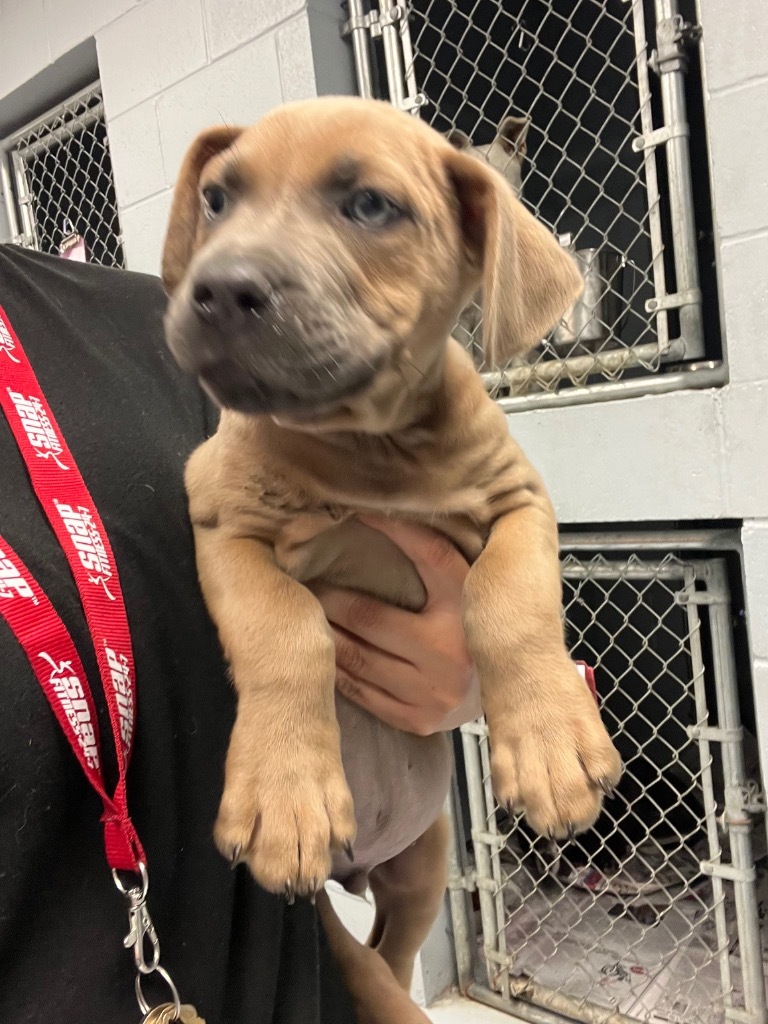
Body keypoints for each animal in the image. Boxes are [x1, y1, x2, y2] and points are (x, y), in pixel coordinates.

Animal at [162, 97, 626, 1024]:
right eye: (218, 200)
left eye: (370, 206)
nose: (218, 288)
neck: (369, 448)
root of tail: (356, 869)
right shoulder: (223, 524)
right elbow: (287, 631)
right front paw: (284, 791)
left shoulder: (519, 504)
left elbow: (508, 604)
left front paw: (551, 745)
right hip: (320, 909)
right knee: (370, 966)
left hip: (420, 865)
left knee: (394, 945)